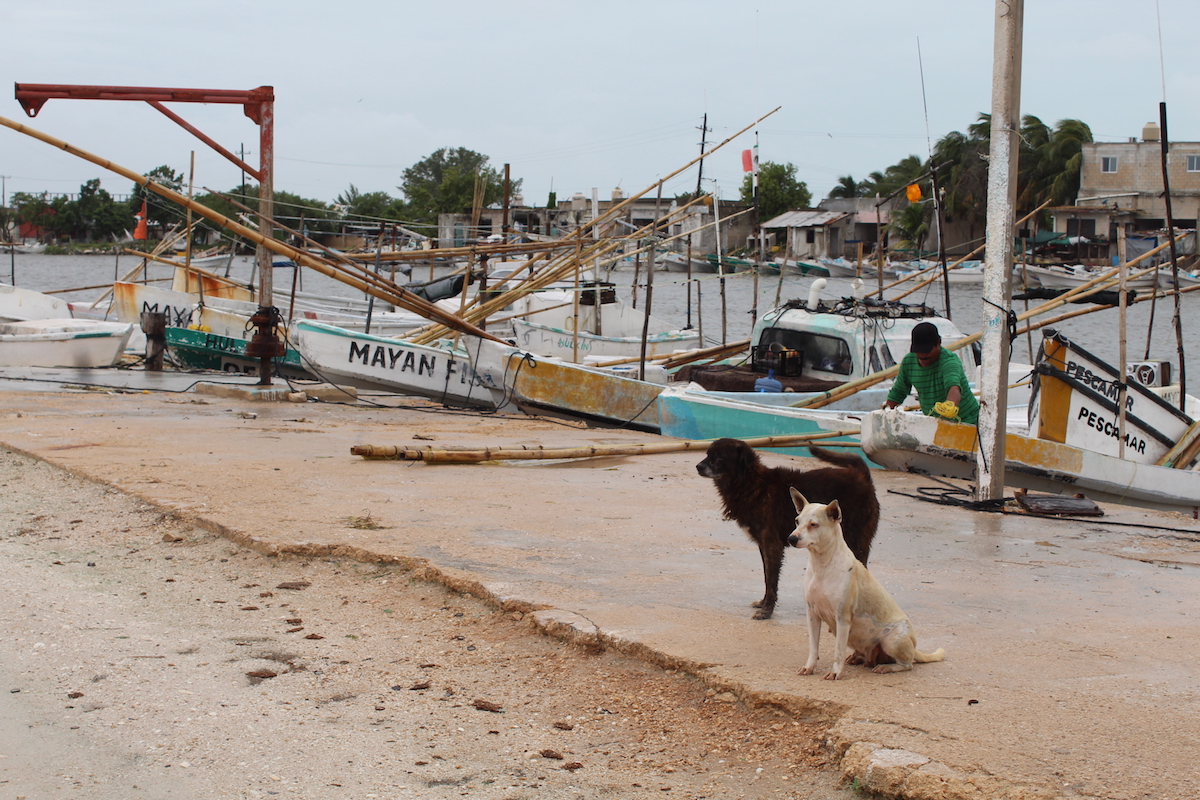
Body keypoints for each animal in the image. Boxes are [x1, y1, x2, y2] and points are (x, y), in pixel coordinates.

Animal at [696, 438, 883, 618]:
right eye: (708, 454)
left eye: (719, 458)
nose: (698, 467)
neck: (752, 484)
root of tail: (863, 476)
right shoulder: (764, 545)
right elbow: (767, 577)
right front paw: (763, 603)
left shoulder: (772, 545)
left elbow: (771, 580)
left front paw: (767, 611)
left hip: (856, 540)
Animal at [787, 489, 945, 681]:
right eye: (797, 521)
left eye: (813, 524)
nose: (791, 538)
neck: (823, 565)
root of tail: (914, 648)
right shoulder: (812, 615)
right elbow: (813, 647)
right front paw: (809, 667)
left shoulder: (842, 618)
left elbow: (838, 651)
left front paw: (835, 672)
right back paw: (858, 658)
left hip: (893, 640)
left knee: (907, 664)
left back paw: (886, 667)